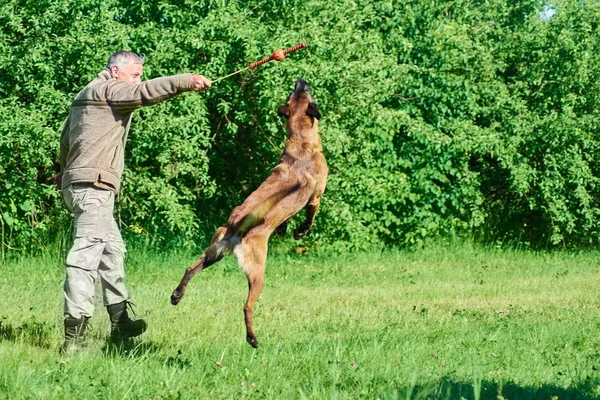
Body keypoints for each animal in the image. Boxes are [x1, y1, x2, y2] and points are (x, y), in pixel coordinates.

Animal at [169, 78, 328, 346]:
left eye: (295, 92)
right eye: (304, 92)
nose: (301, 81)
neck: (301, 141)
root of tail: (238, 224)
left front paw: (285, 229)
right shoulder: (316, 197)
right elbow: (310, 218)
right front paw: (300, 232)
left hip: (215, 251)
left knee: (191, 268)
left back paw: (177, 295)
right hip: (257, 273)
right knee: (246, 306)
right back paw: (252, 338)